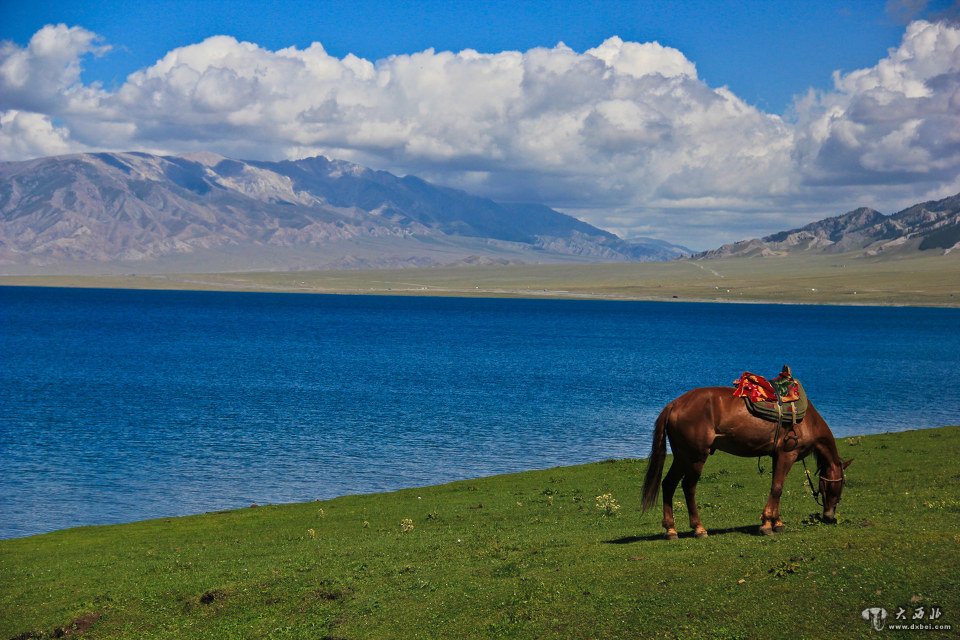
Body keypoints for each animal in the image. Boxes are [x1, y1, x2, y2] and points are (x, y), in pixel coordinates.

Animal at [640, 388, 852, 536]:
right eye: (839, 485)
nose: (829, 516)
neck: (807, 420)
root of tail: (674, 405)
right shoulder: (787, 455)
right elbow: (777, 488)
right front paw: (767, 524)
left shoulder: (777, 456)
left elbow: (777, 487)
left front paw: (777, 522)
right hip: (695, 457)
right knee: (688, 487)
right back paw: (699, 528)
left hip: (682, 456)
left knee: (668, 484)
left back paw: (671, 530)